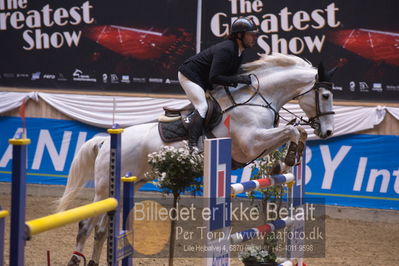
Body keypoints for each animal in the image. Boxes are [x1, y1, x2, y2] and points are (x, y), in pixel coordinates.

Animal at [57, 53, 336, 264]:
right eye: (325, 96)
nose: (327, 132)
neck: (258, 99)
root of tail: (105, 141)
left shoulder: (256, 146)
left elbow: (295, 133)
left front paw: (283, 163)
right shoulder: (251, 142)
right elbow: (291, 131)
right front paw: (289, 158)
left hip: (129, 185)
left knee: (102, 230)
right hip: (105, 188)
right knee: (87, 226)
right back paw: (75, 258)